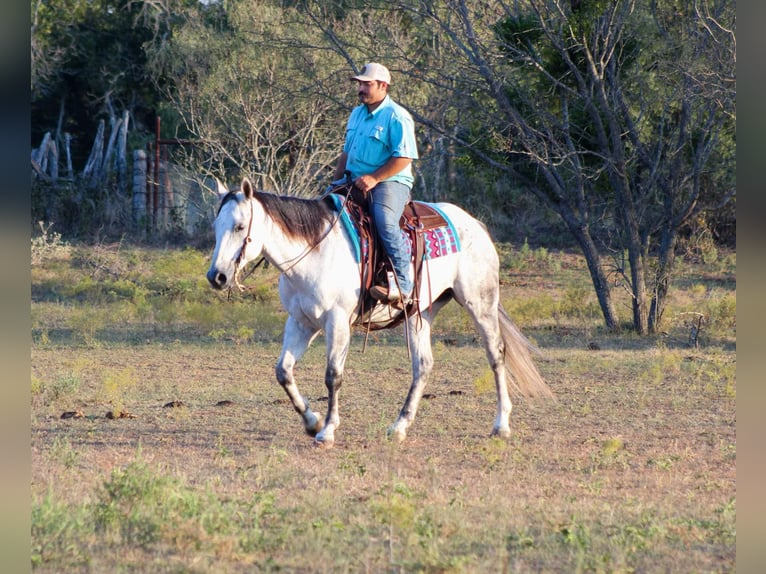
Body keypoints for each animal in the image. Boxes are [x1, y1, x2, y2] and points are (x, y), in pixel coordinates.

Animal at [207, 177, 548, 450]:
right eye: (216, 227)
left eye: (240, 227)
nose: (217, 276)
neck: (315, 252)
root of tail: (474, 224)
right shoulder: (301, 322)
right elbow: (283, 371)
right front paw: (312, 422)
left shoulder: (337, 321)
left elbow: (333, 375)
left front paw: (327, 431)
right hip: (421, 313)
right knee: (423, 365)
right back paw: (399, 427)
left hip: (480, 303)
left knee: (496, 354)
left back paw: (501, 424)